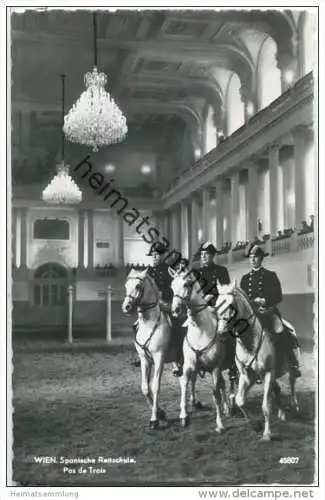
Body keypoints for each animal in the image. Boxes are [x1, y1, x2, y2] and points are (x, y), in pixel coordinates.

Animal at [121, 270, 171, 430]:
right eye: (126, 285)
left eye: (138, 286)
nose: (126, 307)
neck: (148, 324)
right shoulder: (145, 359)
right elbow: (145, 388)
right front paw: (160, 413)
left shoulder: (159, 358)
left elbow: (155, 387)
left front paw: (154, 419)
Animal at [168, 270, 229, 434]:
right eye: (172, 286)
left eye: (186, 284)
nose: (175, 310)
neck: (201, 330)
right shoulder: (189, 365)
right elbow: (184, 383)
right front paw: (183, 415)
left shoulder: (215, 368)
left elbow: (216, 392)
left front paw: (220, 423)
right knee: (195, 381)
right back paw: (195, 402)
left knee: (223, 384)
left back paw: (228, 407)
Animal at [215, 282, 298, 442]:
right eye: (216, 305)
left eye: (230, 305)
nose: (220, 334)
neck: (249, 343)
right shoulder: (246, 376)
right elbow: (240, 400)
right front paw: (255, 425)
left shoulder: (268, 373)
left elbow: (265, 406)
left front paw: (267, 434)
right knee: (277, 390)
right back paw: (282, 414)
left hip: (288, 370)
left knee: (292, 383)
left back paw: (294, 405)